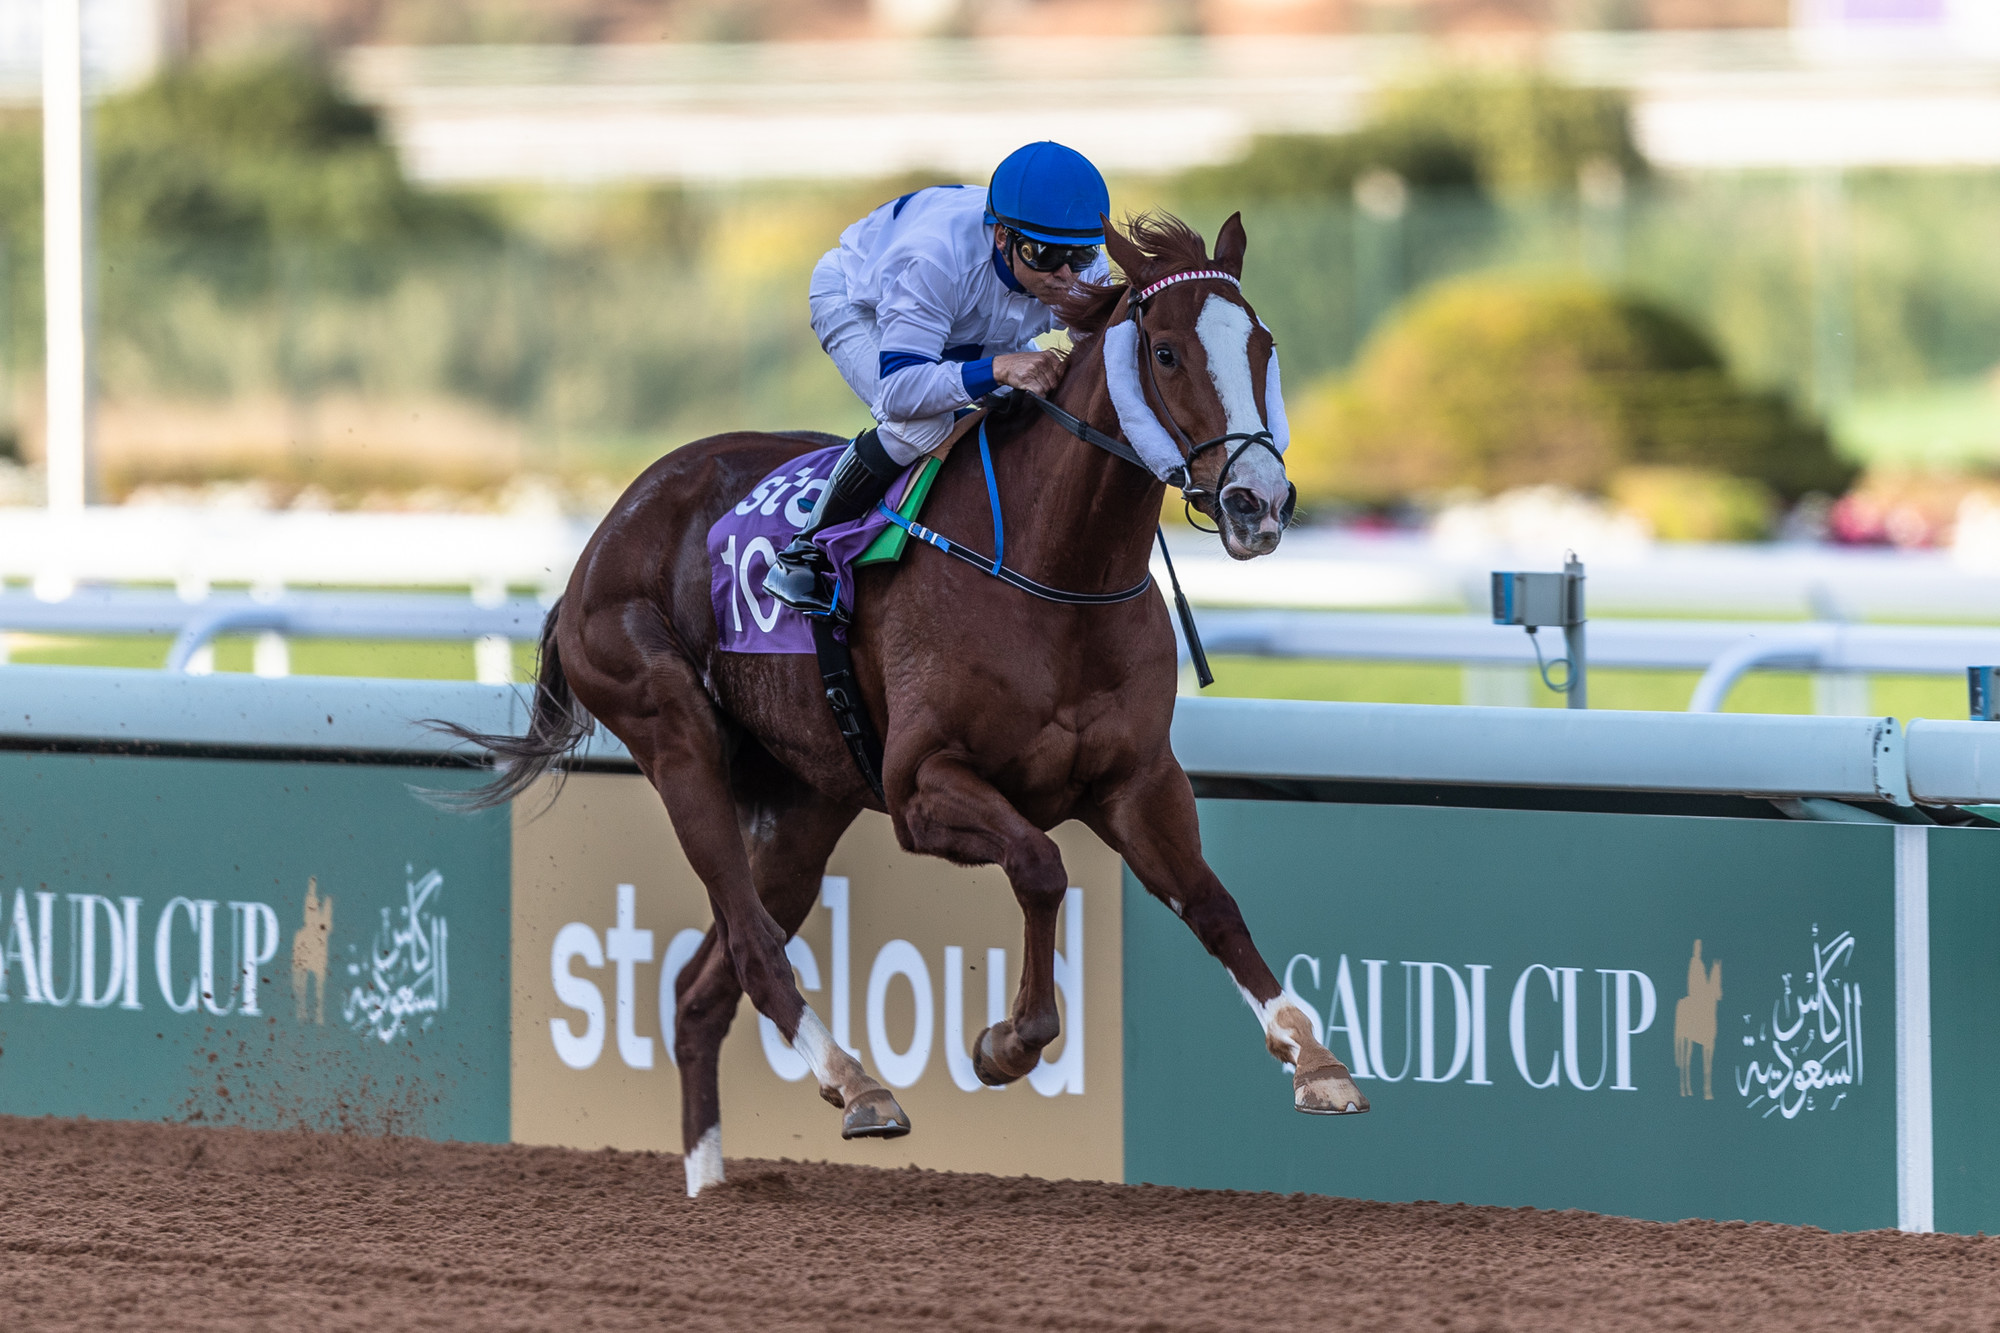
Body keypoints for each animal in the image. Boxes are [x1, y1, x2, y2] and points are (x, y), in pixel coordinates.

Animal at [468, 210, 1368, 1192]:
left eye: (1263, 344)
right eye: (1165, 352)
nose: (1259, 503)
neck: (1055, 573)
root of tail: (610, 527)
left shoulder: (1138, 781)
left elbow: (1211, 904)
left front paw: (1315, 1056)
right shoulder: (921, 786)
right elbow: (1041, 866)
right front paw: (1007, 1041)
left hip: (802, 805)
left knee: (702, 986)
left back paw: (710, 1180)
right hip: (674, 736)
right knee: (751, 942)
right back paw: (856, 1083)